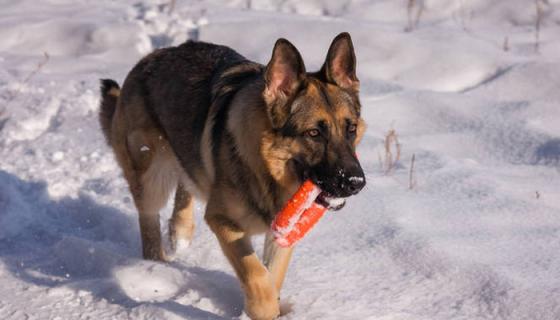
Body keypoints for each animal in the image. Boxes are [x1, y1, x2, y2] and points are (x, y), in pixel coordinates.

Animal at [98, 32, 366, 320]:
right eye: (314, 133)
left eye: (350, 129)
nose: (356, 183)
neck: (265, 167)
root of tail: (148, 60)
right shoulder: (223, 222)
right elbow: (256, 274)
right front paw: (262, 309)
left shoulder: (282, 233)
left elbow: (273, 275)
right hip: (150, 176)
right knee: (149, 222)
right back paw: (156, 269)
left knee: (186, 180)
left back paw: (180, 231)